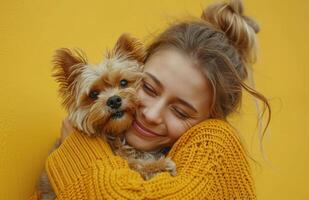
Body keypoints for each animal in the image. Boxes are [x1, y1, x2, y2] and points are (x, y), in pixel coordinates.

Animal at [35, 33, 176, 199]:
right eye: (93, 94)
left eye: (123, 82)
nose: (113, 100)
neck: (115, 133)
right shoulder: (124, 159)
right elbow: (134, 164)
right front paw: (159, 166)